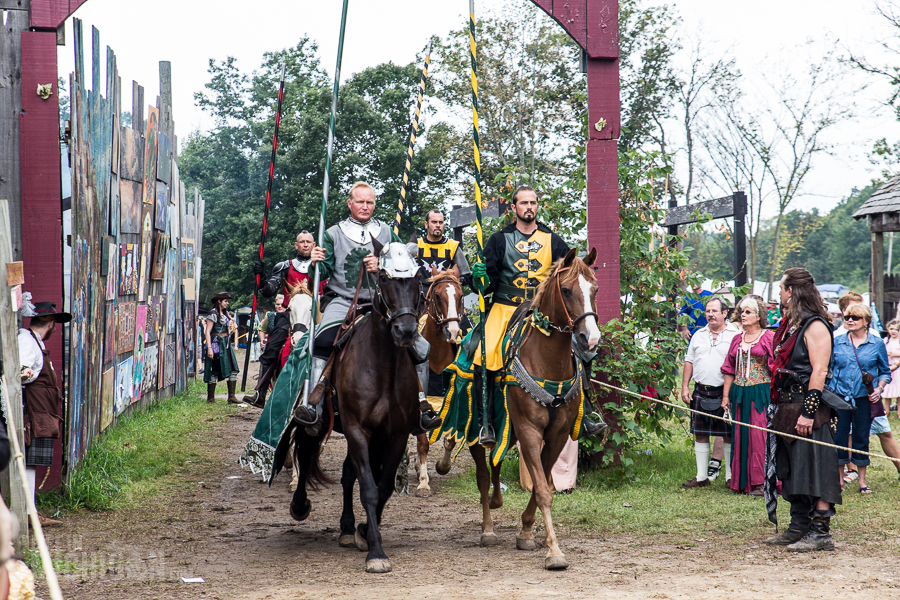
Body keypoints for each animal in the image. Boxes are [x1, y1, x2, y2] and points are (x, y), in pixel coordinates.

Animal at [292, 237, 426, 576]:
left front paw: (365, 531)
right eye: (384, 279)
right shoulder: (357, 430)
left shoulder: (394, 435)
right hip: (318, 426)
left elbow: (383, 485)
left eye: (417, 280)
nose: (406, 331)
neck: (382, 364)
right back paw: (299, 505)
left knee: (347, 474)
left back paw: (347, 527)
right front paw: (376, 552)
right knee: (306, 453)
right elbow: (369, 487)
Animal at [472, 248, 596, 572]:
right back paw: (487, 528)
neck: (548, 360)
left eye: (594, 289)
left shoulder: (557, 433)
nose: (590, 340)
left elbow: (545, 484)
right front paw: (554, 551)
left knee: (496, 461)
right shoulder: (529, 429)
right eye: (567, 290)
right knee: (483, 472)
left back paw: (496, 502)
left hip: (509, 427)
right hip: (475, 431)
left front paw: (527, 531)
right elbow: (540, 487)